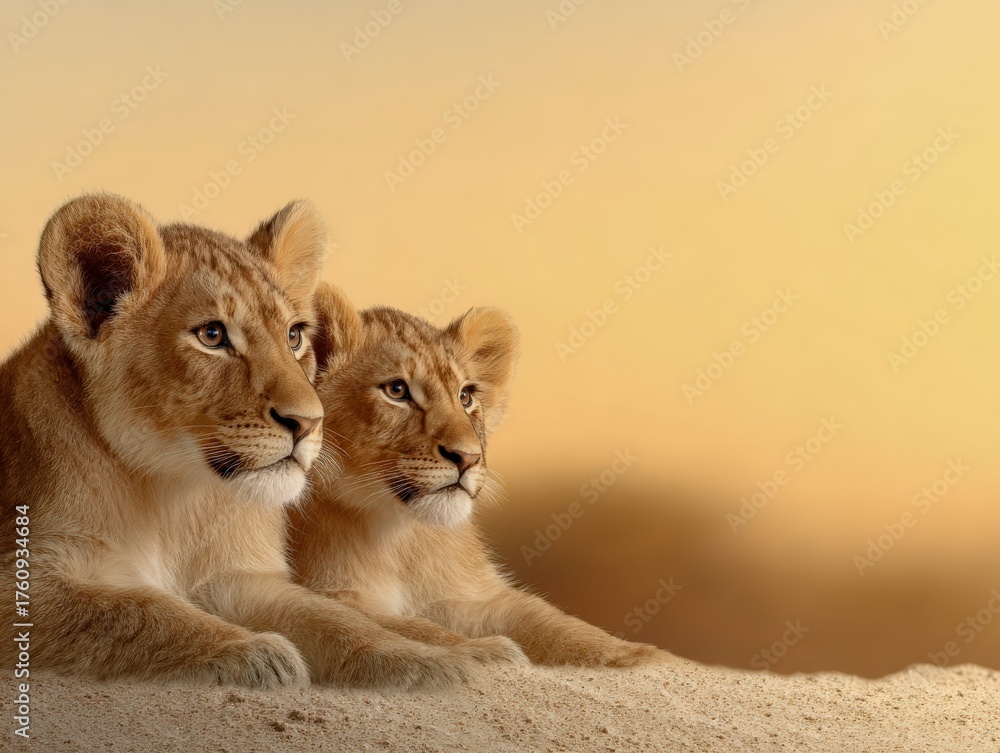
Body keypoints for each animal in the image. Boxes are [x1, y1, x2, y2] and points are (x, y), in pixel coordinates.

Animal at [0, 194, 522, 688]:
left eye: (294, 336)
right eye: (212, 335)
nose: (309, 422)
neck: (175, 496)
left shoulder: (246, 579)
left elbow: (337, 620)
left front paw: (435, 660)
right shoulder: (25, 580)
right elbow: (140, 610)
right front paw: (254, 653)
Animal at [288, 285, 673, 668]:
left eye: (465, 396)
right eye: (396, 390)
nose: (468, 458)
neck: (401, 540)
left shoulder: (472, 597)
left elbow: (551, 620)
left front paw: (644, 657)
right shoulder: (328, 592)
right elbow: (408, 627)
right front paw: (480, 651)